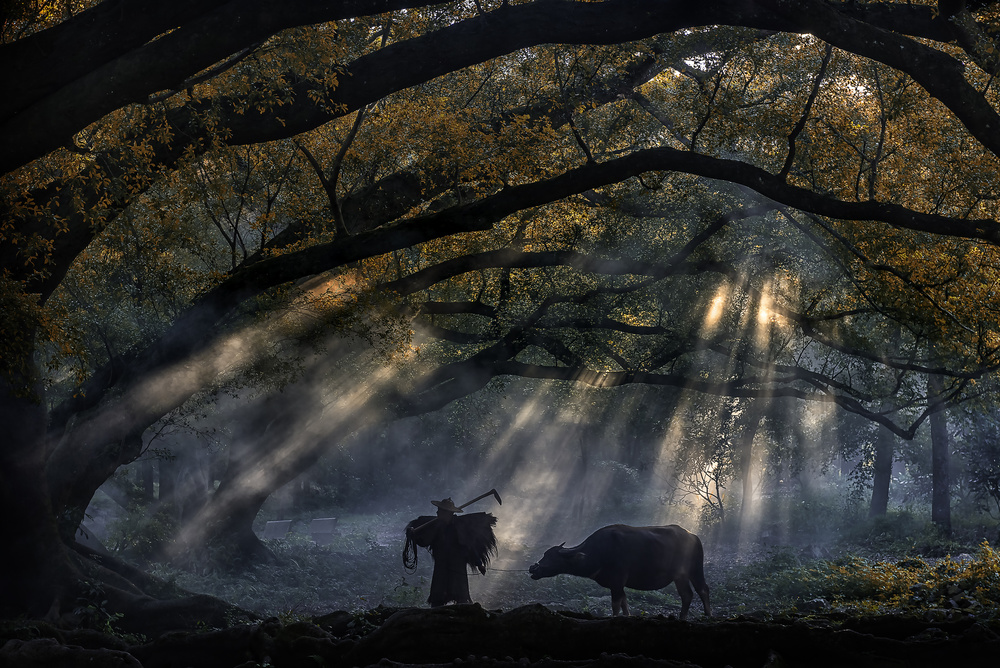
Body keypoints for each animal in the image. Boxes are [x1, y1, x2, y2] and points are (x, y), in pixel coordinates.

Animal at [532, 520, 712, 620]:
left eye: (550, 556)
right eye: (545, 554)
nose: (533, 568)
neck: (598, 552)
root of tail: (693, 536)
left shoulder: (617, 581)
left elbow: (615, 605)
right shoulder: (618, 585)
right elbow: (624, 603)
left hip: (694, 570)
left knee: (702, 589)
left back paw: (708, 615)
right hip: (680, 576)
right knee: (687, 594)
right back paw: (682, 617)